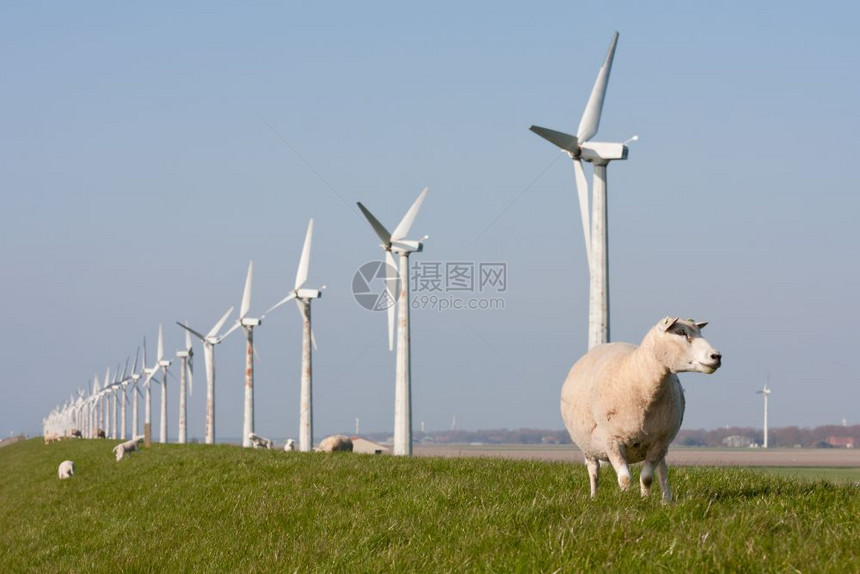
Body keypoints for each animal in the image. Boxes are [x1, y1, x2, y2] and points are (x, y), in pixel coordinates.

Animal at [560, 320, 724, 504]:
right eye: (680, 332)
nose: (716, 356)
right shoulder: (612, 442)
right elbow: (625, 478)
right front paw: (625, 499)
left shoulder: (659, 443)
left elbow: (647, 478)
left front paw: (645, 499)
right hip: (586, 447)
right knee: (594, 471)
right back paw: (594, 497)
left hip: (660, 445)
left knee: (662, 471)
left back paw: (667, 501)